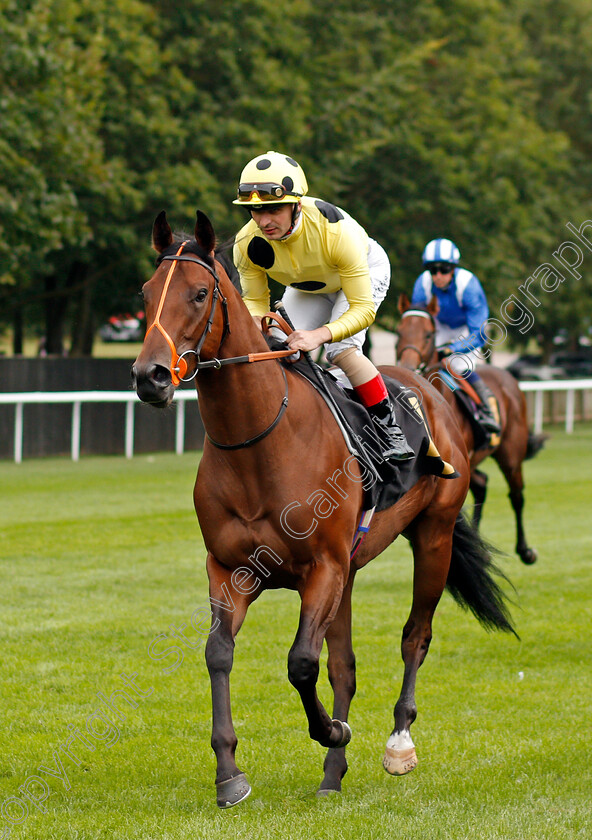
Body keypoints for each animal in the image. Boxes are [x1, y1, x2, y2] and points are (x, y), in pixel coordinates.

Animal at [133, 210, 512, 808]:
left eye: (199, 294)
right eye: (146, 294)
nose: (148, 376)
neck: (259, 444)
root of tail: (430, 390)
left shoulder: (323, 568)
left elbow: (301, 663)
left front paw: (333, 731)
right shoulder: (231, 569)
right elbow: (221, 653)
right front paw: (229, 773)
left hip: (434, 535)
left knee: (415, 636)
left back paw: (398, 742)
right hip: (353, 572)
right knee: (345, 666)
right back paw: (333, 776)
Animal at [398, 294, 544, 564]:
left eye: (428, 334)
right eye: (400, 332)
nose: (408, 366)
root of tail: (509, 378)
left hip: (510, 454)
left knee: (516, 495)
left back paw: (525, 550)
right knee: (482, 485)